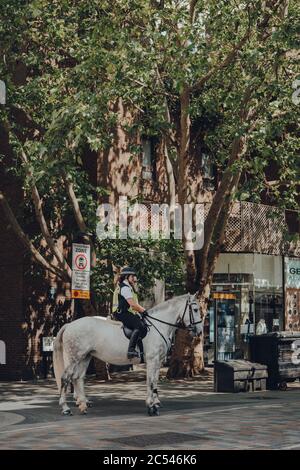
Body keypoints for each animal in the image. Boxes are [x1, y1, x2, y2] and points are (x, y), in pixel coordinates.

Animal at [54, 292, 204, 416]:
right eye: (195, 309)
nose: (199, 331)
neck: (159, 326)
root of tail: (70, 325)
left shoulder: (159, 361)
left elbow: (155, 382)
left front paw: (155, 403)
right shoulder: (152, 359)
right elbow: (150, 382)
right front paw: (151, 406)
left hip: (85, 357)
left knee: (78, 378)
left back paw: (83, 405)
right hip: (74, 358)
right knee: (66, 378)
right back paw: (66, 408)